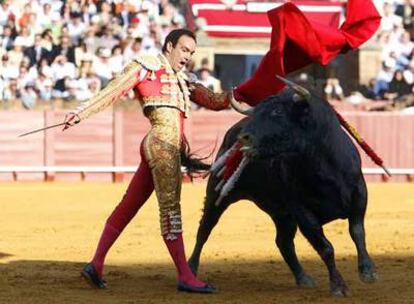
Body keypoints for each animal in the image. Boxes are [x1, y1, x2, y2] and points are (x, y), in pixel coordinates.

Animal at [189, 86, 376, 296]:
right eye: (256, 114)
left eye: (277, 112)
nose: (244, 138)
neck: (323, 165)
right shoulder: (302, 212)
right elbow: (326, 248)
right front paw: (339, 286)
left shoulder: (359, 195)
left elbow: (357, 232)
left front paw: (367, 271)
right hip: (218, 194)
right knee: (204, 229)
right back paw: (191, 269)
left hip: (281, 214)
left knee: (283, 242)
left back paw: (303, 277)